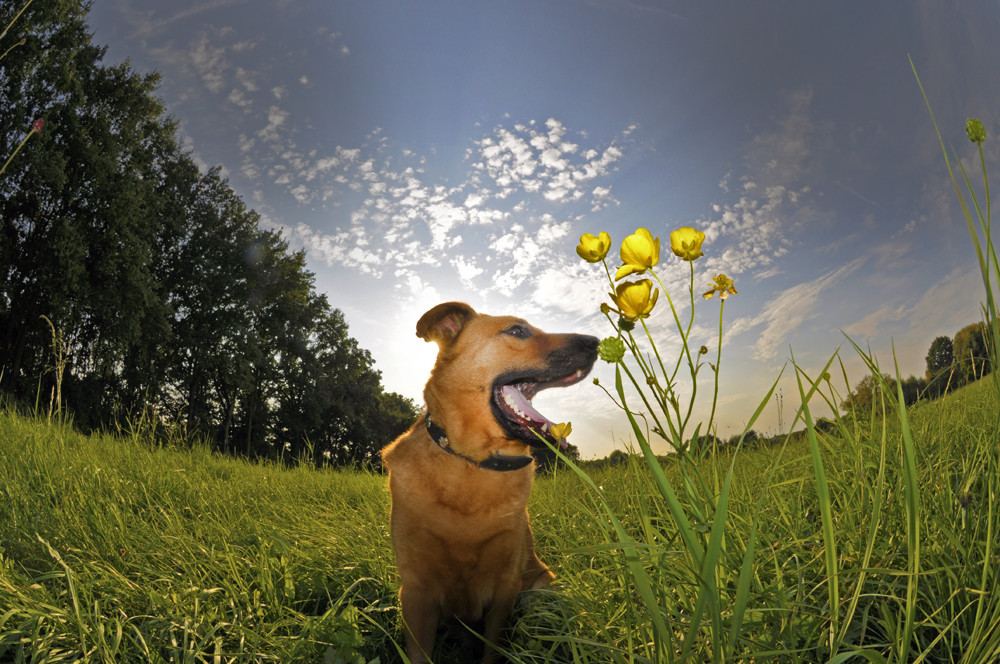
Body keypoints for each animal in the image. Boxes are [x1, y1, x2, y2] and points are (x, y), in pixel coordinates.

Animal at [382, 302, 596, 664]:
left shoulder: (504, 589)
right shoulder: (415, 594)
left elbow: (492, 650)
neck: (473, 465)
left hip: (540, 591)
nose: (595, 342)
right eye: (517, 331)